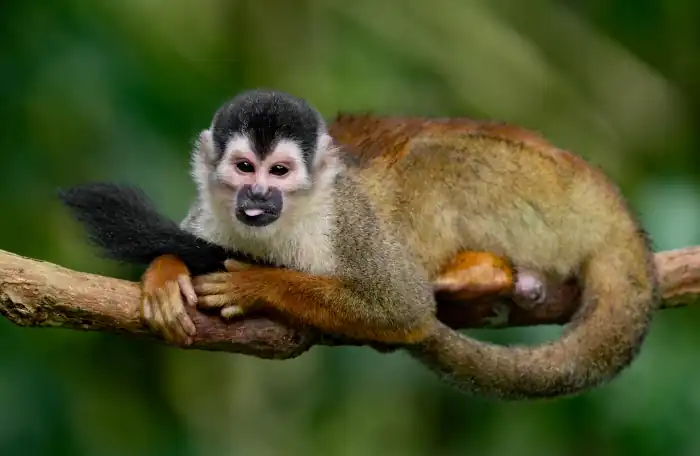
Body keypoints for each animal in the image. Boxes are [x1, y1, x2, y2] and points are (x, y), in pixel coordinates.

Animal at [60, 89, 659, 399]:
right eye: (244, 168)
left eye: (279, 172)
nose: (257, 197)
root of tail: (605, 198)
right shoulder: (208, 214)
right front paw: (165, 274)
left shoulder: (347, 220)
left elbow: (402, 305)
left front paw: (261, 284)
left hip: (540, 193)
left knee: (427, 159)